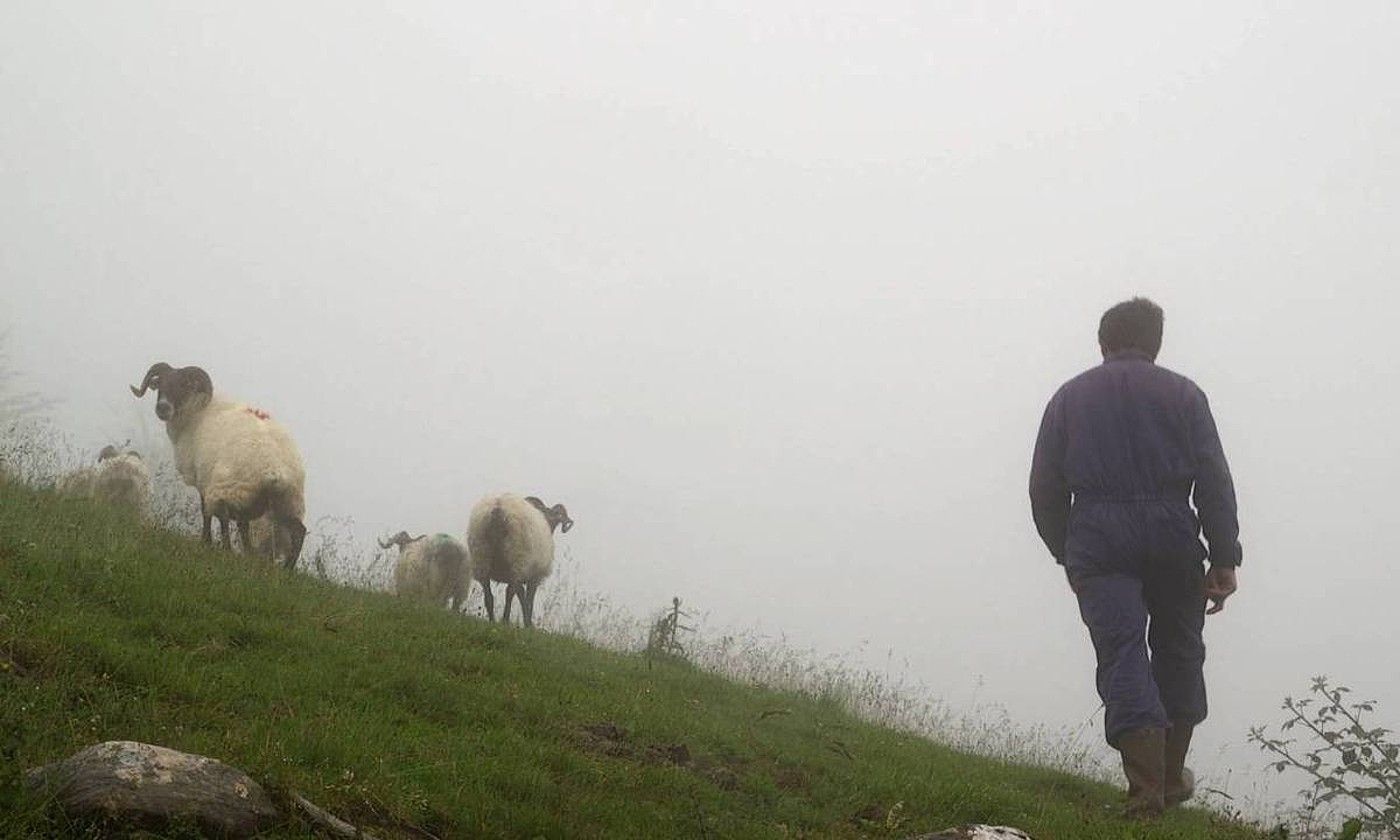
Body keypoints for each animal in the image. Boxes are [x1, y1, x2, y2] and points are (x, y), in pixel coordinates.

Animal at [130, 361, 306, 568]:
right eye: (161, 384)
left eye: (183, 386)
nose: (163, 408)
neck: (194, 413)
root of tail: (274, 469)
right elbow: (241, 527)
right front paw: (247, 553)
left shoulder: (203, 480)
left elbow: (205, 511)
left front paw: (205, 542)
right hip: (287, 500)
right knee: (299, 532)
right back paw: (287, 569)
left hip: (229, 486)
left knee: (223, 514)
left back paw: (227, 550)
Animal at [467, 495, 571, 627]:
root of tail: (498, 508)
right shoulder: (535, 577)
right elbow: (529, 600)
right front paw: (528, 624)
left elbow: (522, 596)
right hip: (517, 560)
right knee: (510, 592)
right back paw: (505, 620)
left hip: (481, 557)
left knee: (489, 595)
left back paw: (492, 620)